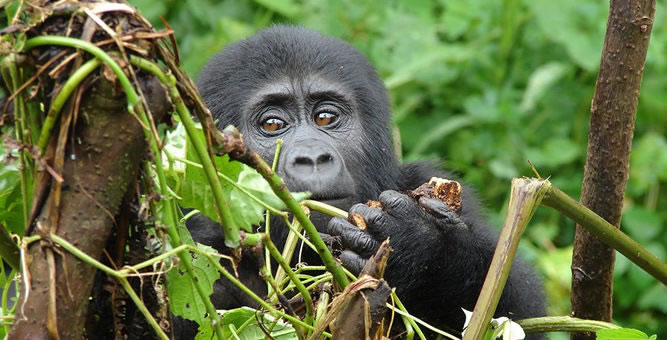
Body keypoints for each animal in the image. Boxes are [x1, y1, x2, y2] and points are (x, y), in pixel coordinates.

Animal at [181, 23, 544, 338]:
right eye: (272, 124)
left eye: (325, 117)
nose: (313, 157)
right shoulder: (197, 249)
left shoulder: (436, 186)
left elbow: (512, 308)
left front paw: (423, 250)